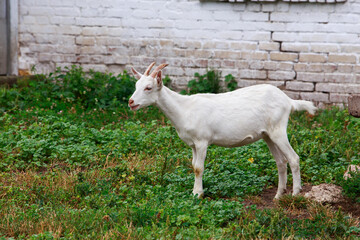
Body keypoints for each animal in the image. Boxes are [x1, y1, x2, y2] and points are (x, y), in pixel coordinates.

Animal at [129, 62, 316, 199]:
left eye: (148, 88)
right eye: (136, 85)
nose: (131, 102)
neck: (184, 109)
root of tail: (288, 101)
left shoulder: (202, 141)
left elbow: (198, 168)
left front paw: (198, 194)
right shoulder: (193, 144)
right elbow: (193, 166)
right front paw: (194, 192)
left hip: (278, 130)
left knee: (293, 158)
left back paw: (295, 194)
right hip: (267, 134)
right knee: (281, 162)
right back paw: (278, 196)